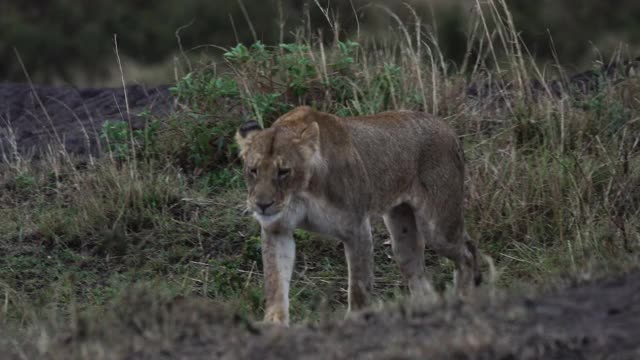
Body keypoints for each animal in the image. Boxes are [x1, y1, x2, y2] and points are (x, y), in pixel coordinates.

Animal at [235, 105, 480, 324]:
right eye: (253, 170)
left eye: (283, 171)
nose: (262, 205)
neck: (301, 191)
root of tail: (448, 127)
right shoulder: (277, 229)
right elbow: (275, 281)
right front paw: (274, 324)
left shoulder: (356, 228)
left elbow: (358, 286)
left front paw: (355, 320)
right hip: (402, 230)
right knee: (420, 277)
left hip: (438, 227)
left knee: (468, 252)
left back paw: (463, 300)